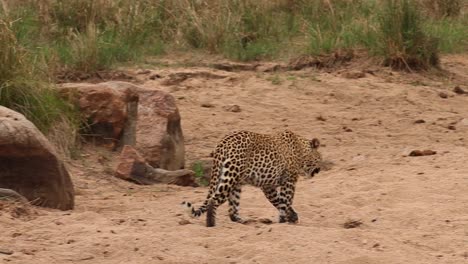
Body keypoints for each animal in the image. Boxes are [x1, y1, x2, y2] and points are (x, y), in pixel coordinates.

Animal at [183, 130, 322, 227]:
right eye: (320, 158)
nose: (320, 169)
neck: (301, 151)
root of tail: (222, 143)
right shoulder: (289, 181)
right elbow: (285, 201)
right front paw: (284, 220)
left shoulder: (268, 186)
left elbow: (278, 201)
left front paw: (291, 216)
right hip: (230, 176)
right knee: (213, 200)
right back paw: (211, 224)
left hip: (235, 182)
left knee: (232, 209)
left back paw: (243, 221)